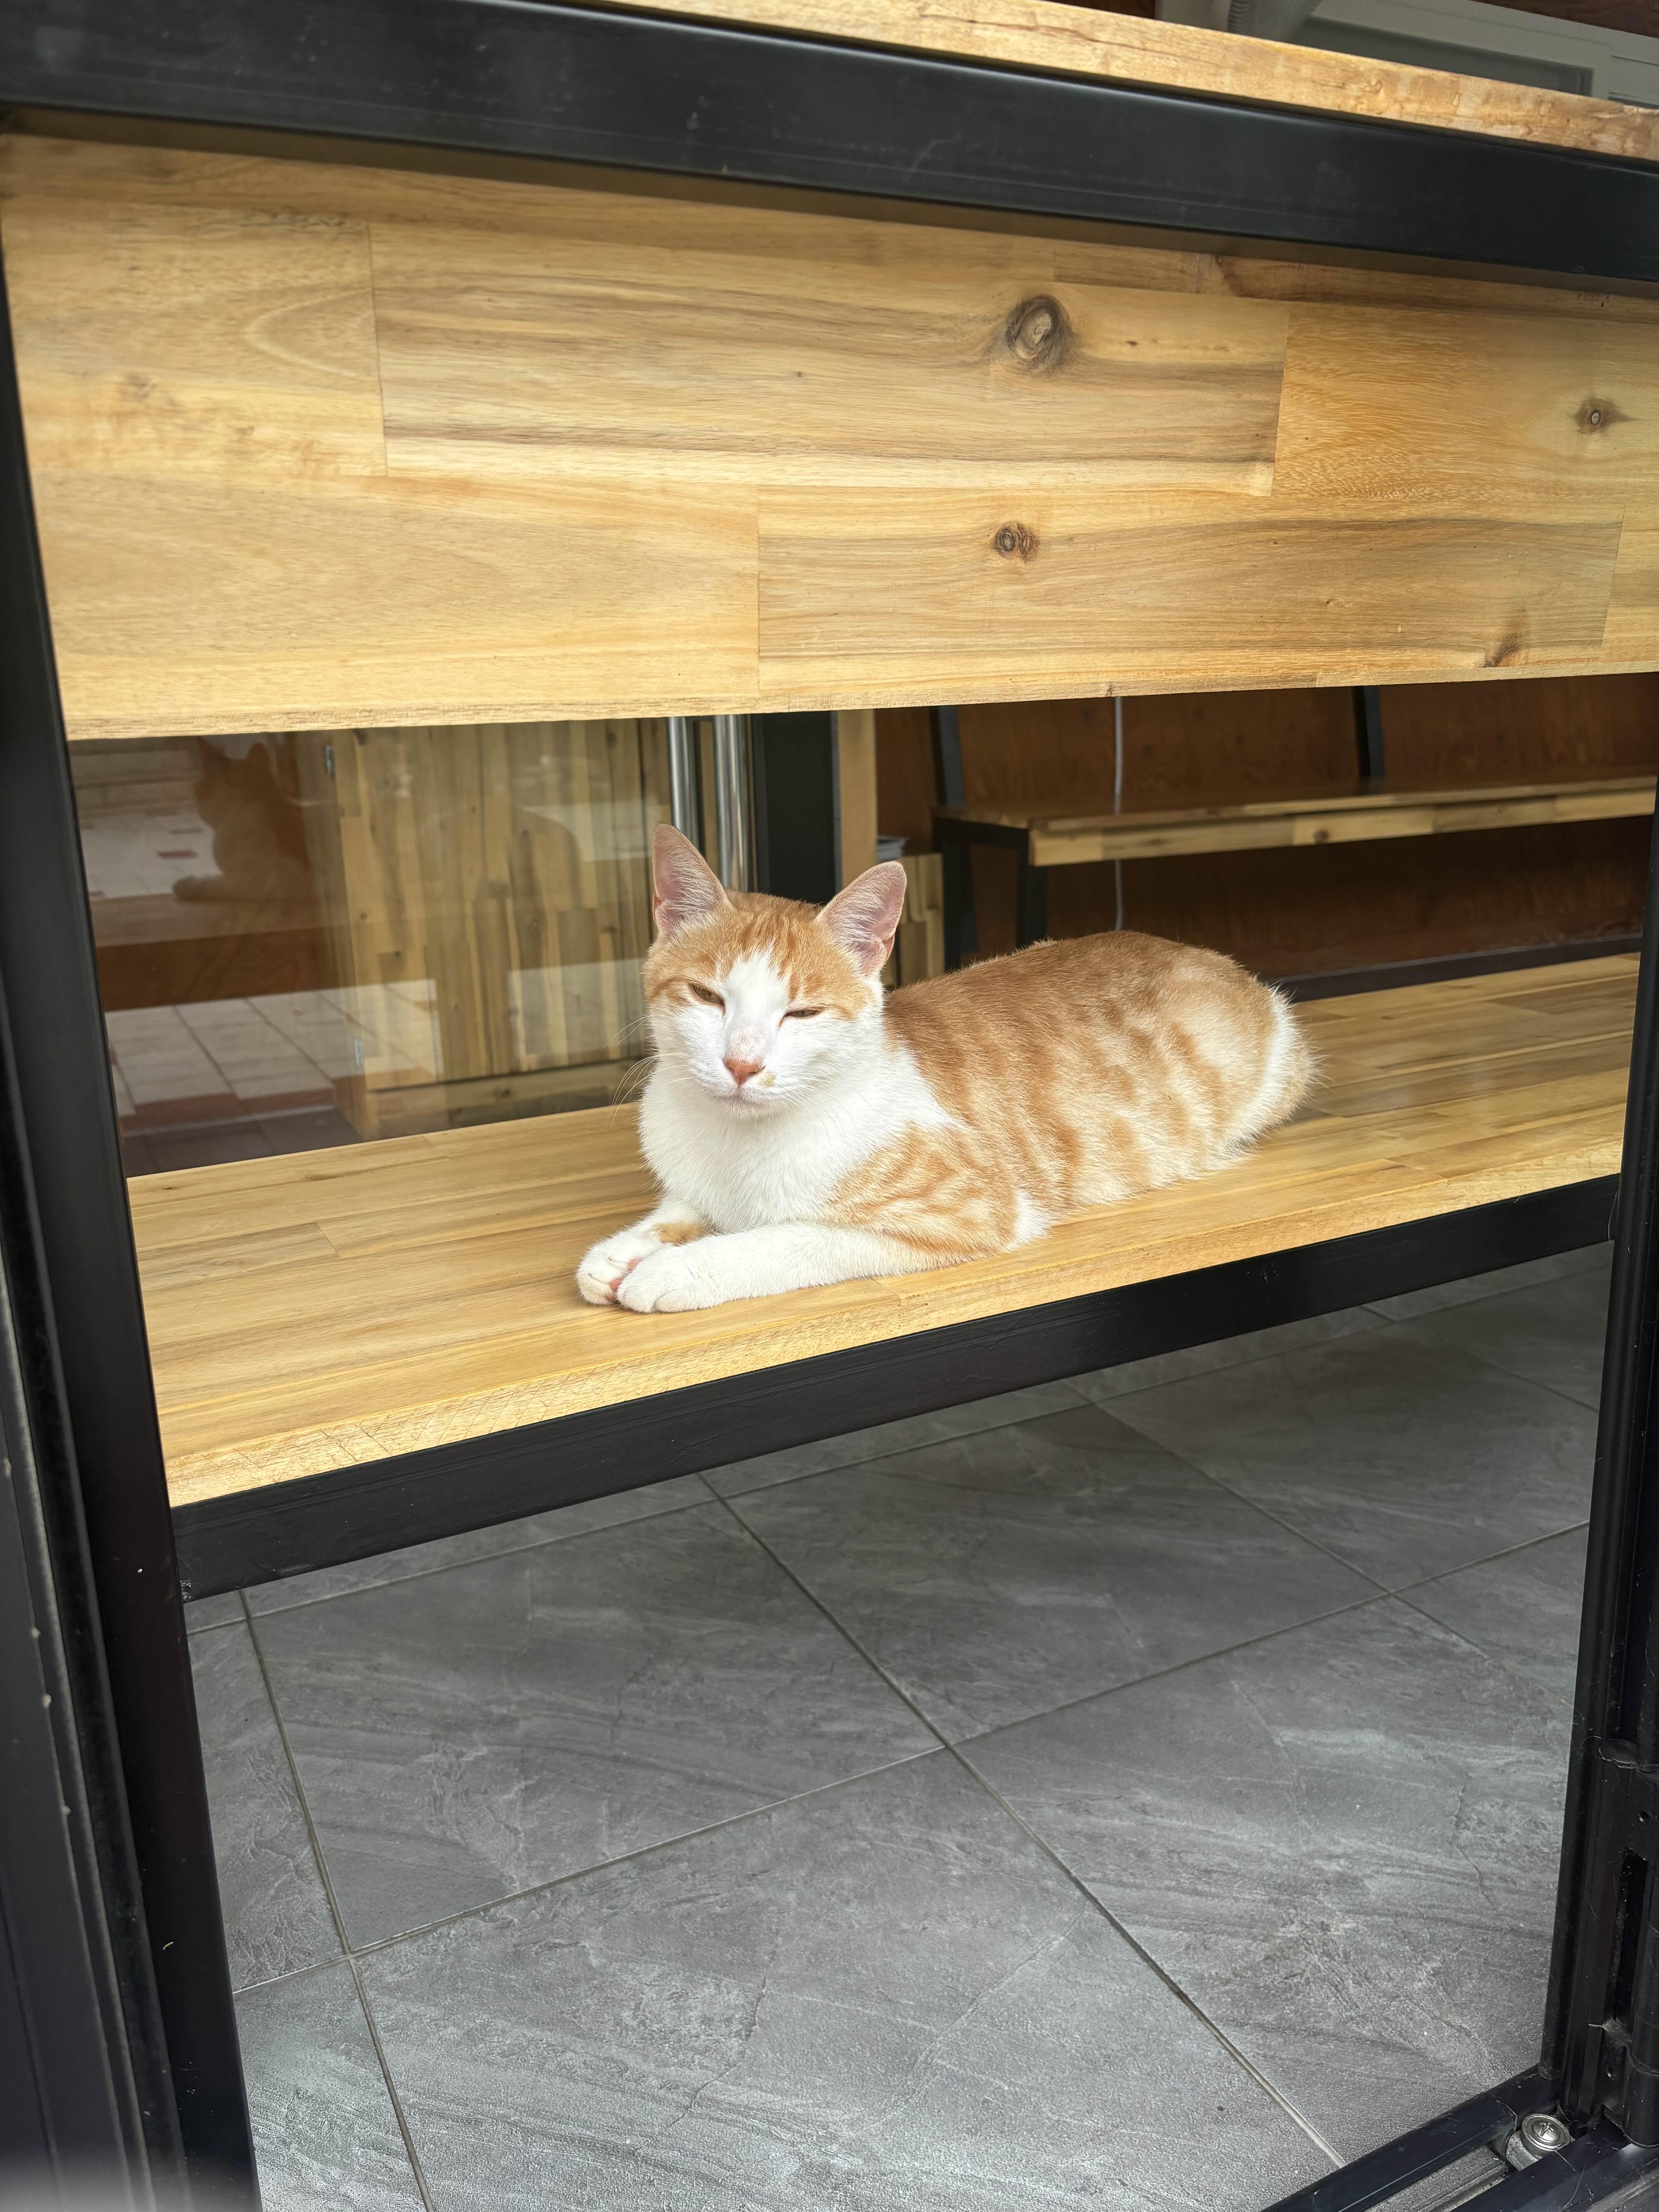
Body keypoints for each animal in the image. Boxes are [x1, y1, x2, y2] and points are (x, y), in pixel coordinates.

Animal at [576, 825, 1312, 1312]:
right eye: (708, 998)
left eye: (802, 1013)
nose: (741, 1062)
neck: (734, 1143)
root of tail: (1210, 956)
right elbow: (681, 1206)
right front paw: (625, 1249)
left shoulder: (974, 1209)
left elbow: (790, 1238)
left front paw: (680, 1268)